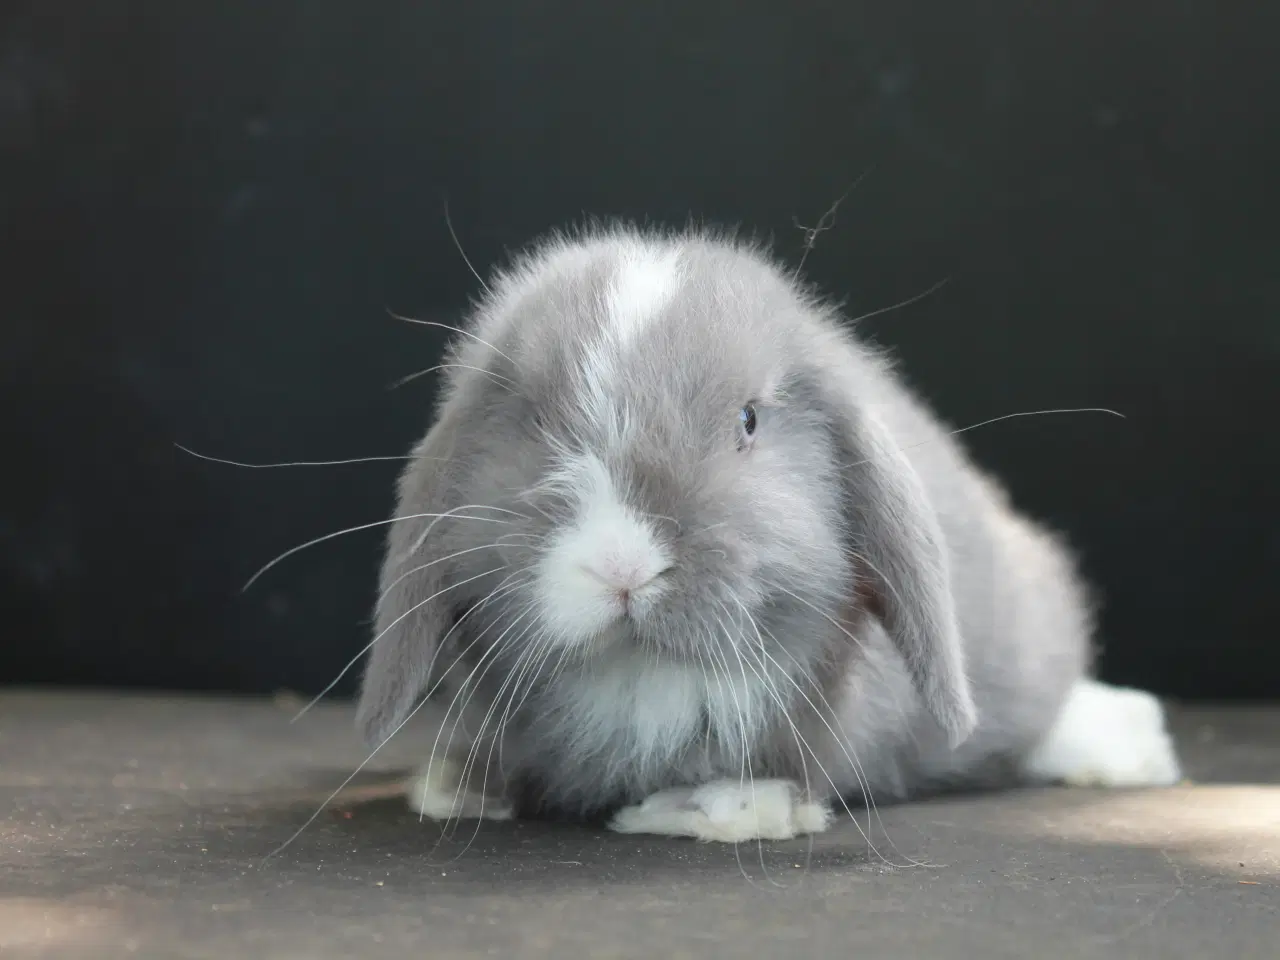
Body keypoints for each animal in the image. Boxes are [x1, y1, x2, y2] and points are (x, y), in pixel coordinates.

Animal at [353, 225, 1177, 839]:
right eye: (530, 422)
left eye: (749, 421)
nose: (622, 566)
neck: (644, 684)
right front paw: (461, 785)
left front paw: (707, 809)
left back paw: (1132, 748)